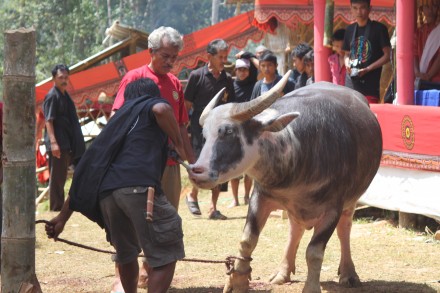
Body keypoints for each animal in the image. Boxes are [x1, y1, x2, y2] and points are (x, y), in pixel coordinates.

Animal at [187, 71, 384, 292]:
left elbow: (314, 252)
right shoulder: (260, 196)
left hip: (351, 201)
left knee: (344, 229)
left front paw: (311, 287)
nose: (196, 172)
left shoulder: (333, 208)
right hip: (294, 209)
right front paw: (237, 280)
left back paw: (349, 273)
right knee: (294, 230)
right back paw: (283, 271)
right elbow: (247, 240)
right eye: (205, 135)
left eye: (229, 132)